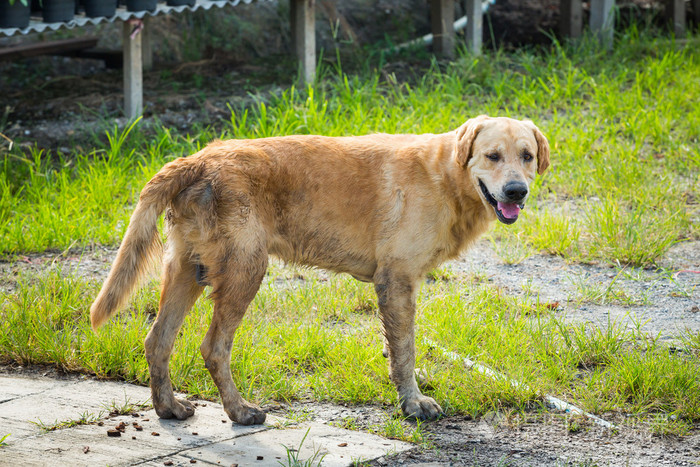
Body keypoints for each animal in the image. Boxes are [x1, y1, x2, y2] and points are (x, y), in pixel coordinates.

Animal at [89, 116, 548, 424]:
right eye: (492, 156)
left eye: (526, 156)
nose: (516, 191)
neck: (446, 175)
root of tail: (197, 159)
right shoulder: (397, 280)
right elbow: (405, 352)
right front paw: (413, 403)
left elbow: (397, 350)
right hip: (245, 272)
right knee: (214, 348)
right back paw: (239, 411)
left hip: (189, 270)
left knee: (157, 341)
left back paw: (168, 407)